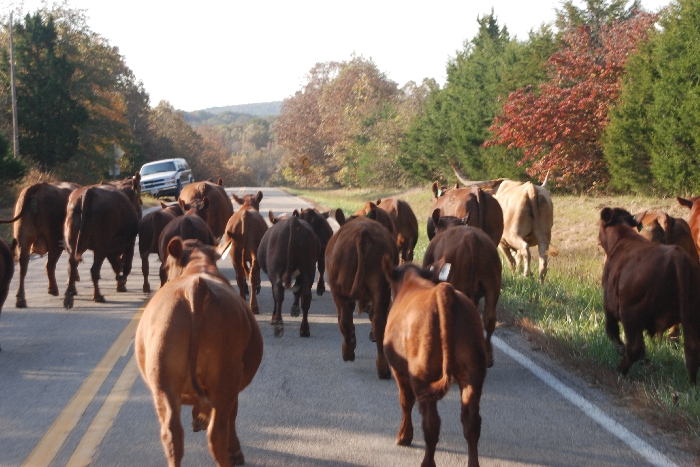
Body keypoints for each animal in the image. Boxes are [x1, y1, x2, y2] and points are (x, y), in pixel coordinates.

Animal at [135, 238, 263, 467]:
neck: (198, 265)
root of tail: (196, 286)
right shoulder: (233, 391)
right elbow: (233, 415)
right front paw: (235, 452)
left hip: (163, 380)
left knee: (172, 434)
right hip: (224, 381)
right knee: (217, 432)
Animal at [325, 217, 399, 379]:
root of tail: (362, 233)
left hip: (341, 291)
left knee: (345, 320)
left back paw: (348, 352)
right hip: (381, 289)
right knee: (379, 323)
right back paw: (383, 369)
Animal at [382, 261, 486, 467]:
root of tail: (444, 290)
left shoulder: (399, 369)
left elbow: (406, 401)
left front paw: (404, 437)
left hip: (423, 373)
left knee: (432, 423)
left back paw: (427, 462)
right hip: (473, 372)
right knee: (471, 422)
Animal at [599, 207, 700, 384]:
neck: (623, 238)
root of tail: (678, 258)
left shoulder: (610, 305)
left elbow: (612, 331)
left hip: (631, 314)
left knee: (634, 347)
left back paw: (621, 369)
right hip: (692, 315)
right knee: (692, 349)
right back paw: (692, 384)